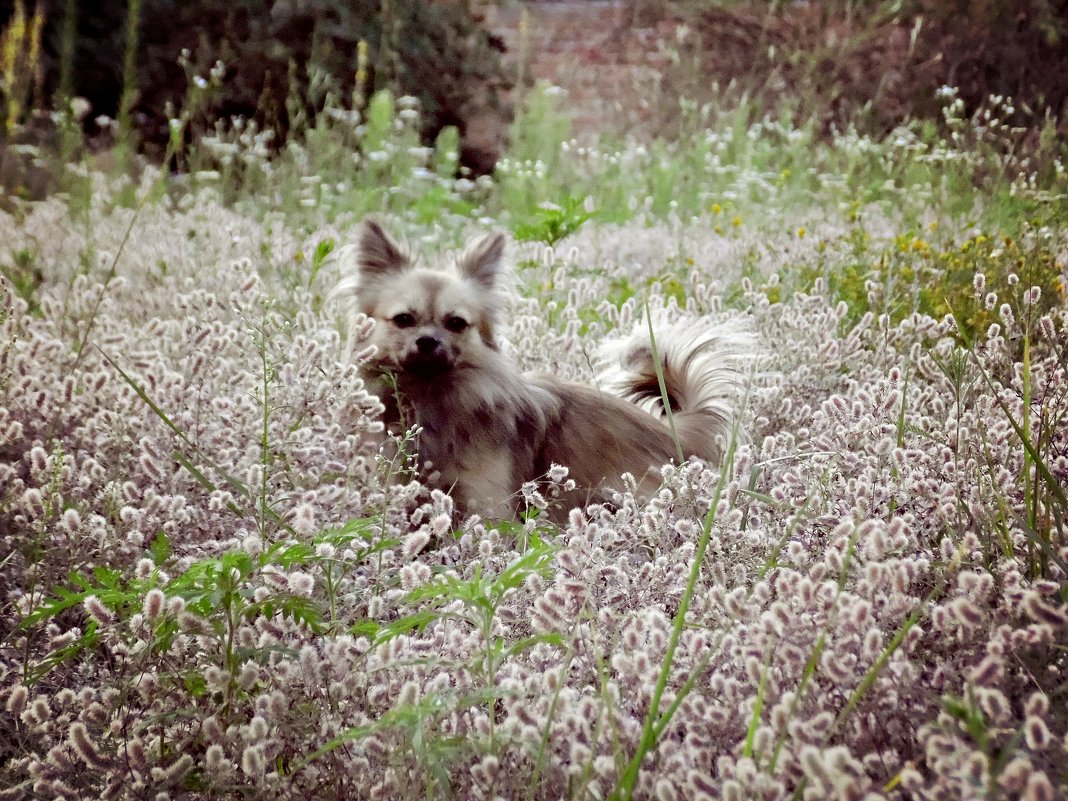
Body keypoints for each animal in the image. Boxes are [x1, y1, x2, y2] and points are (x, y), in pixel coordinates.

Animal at [335, 220, 751, 521]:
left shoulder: (489, 507)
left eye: (456, 324)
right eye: (403, 320)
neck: (430, 397)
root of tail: (676, 433)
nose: (427, 341)